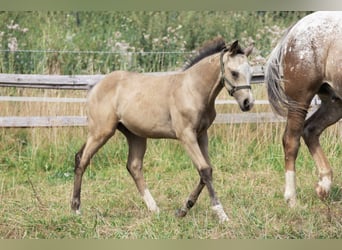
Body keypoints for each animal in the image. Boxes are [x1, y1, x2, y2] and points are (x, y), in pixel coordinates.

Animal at [71, 37, 254, 223]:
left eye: (251, 73)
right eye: (234, 73)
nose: (248, 103)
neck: (192, 90)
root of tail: (95, 87)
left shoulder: (202, 135)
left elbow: (206, 170)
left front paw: (183, 209)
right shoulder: (186, 135)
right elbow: (204, 170)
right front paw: (221, 214)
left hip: (135, 135)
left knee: (133, 166)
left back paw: (154, 208)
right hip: (101, 131)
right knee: (82, 159)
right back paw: (76, 209)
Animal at [266, 11, 340, 207]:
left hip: (335, 102)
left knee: (311, 130)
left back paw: (323, 186)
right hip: (299, 101)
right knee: (291, 140)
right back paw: (292, 199)